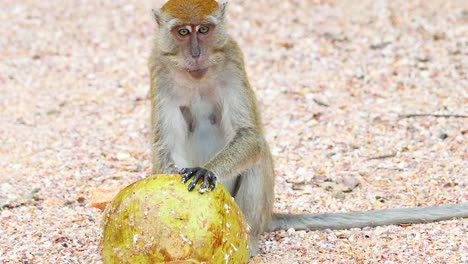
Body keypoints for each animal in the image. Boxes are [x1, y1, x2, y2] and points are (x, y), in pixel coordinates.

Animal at [150, 0, 468, 256]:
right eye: (183, 32)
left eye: (204, 30)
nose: (196, 53)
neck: (198, 77)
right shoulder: (159, 69)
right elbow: (165, 147)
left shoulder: (232, 60)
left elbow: (250, 137)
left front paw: (206, 171)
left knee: (257, 156)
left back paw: (248, 244)